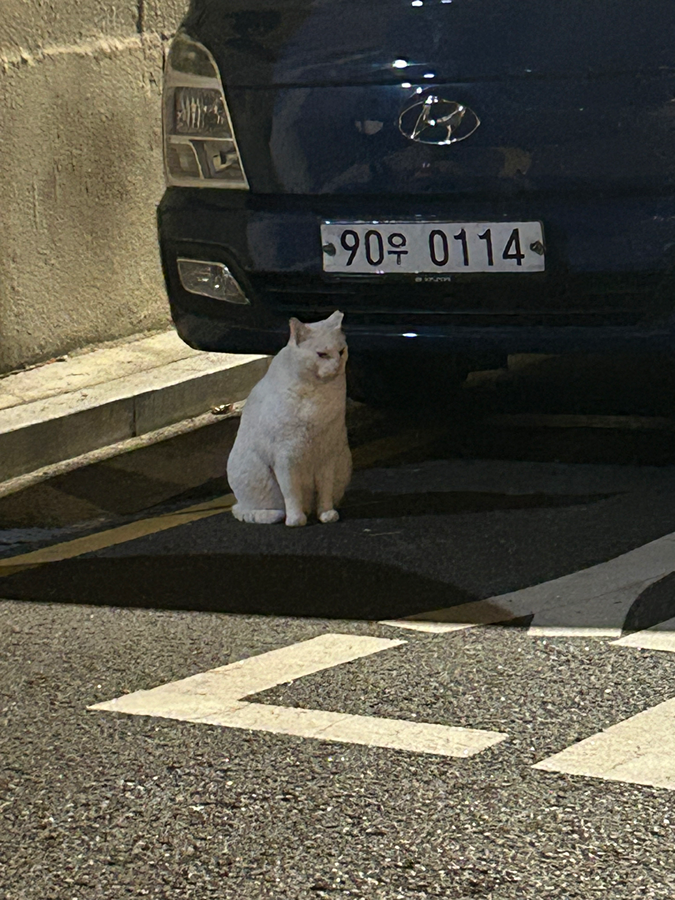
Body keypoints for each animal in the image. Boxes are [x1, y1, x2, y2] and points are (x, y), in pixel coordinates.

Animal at [228, 312, 354, 528]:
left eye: (341, 351)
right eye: (322, 354)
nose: (337, 365)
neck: (319, 394)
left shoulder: (327, 457)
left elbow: (325, 491)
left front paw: (326, 514)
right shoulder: (285, 459)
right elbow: (292, 493)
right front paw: (295, 520)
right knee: (246, 510)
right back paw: (278, 515)